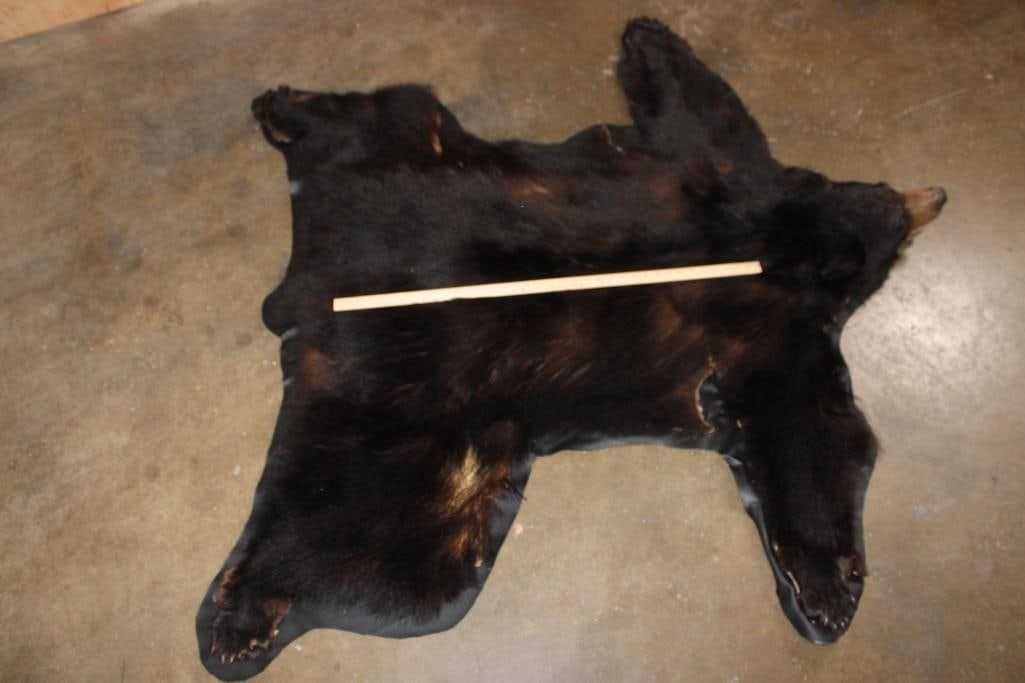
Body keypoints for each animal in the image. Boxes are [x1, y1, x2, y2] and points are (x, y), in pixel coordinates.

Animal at [196, 17, 946, 680]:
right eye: (896, 241)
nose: (936, 191)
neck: (796, 237)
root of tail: (303, 293)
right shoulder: (780, 327)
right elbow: (822, 436)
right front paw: (829, 592)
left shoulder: (727, 193)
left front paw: (645, 33)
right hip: (411, 437)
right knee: (384, 560)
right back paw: (243, 621)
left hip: (395, 193)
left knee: (372, 114)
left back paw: (283, 108)